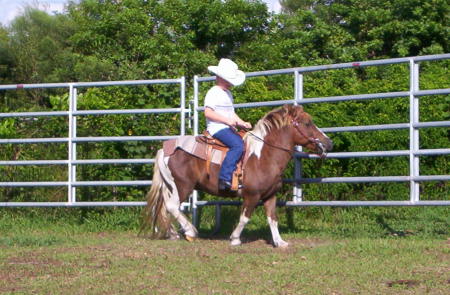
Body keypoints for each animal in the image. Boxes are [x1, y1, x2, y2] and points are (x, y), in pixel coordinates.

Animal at [142, 105, 334, 249]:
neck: (264, 156)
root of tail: (165, 149)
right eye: (307, 123)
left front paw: (280, 242)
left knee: (164, 208)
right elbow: (245, 217)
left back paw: (173, 234)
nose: (328, 143)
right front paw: (234, 238)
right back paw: (190, 231)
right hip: (182, 186)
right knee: (172, 206)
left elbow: (273, 219)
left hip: (171, 187)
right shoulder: (252, 195)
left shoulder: (270, 195)